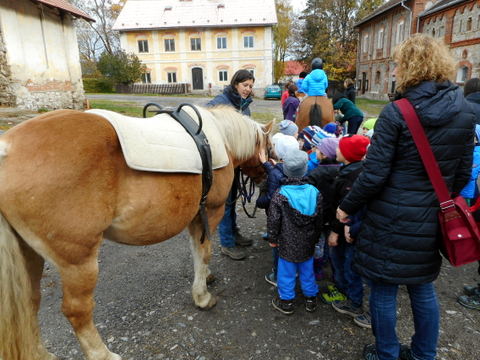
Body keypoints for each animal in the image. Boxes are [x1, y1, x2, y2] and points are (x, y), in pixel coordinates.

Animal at [0, 106, 272, 360]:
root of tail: (7, 150)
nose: (265, 179)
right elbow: (203, 253)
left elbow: (196, 252)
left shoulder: (195, 218)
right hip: (78, 262)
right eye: (269, 149)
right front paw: (202, 296)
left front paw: (206, 277)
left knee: (28, 303)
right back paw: (103, 354)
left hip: (29, 254)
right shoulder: (210, 212)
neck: (219, 137)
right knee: (77, 310)